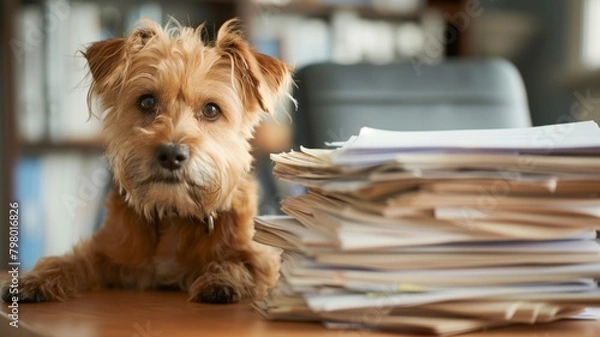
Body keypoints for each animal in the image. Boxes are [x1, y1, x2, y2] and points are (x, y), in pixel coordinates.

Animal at [0, 19, 290, 304]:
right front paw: (33, 279)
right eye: (148, 101)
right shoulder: (102, 251)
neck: (174, 214)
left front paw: (221, 279)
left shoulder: (264, 258)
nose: (171, 154)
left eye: (211, 109)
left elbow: (243, 263)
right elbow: (69, 261)